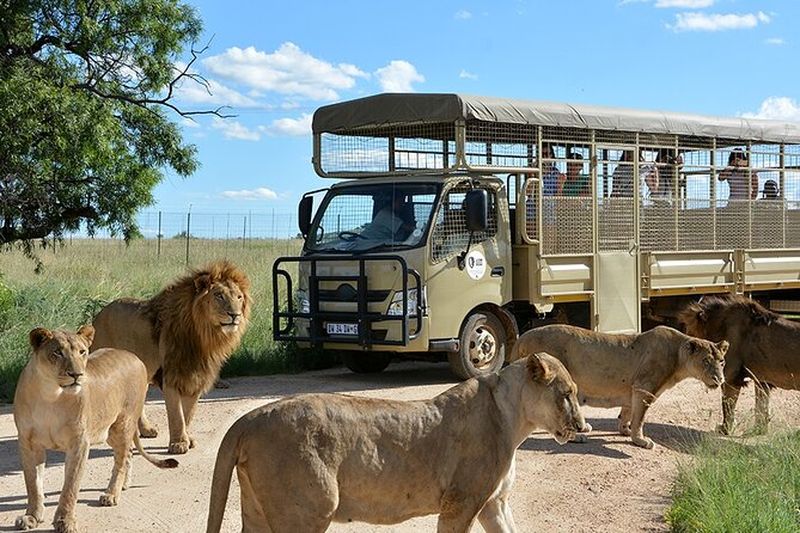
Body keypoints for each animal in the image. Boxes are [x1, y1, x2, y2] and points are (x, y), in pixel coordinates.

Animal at [13, 326, 178, 533]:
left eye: (82, 352)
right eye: (57, 352)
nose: (76, 374)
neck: (50, 395)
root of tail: (134, 356)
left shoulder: (79, 443)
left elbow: (70, 486)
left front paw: (65, 521)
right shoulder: (28, 443)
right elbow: (33, 484)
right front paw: (31, 517)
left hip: (122, 424)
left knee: (121, 459)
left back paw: (111, 494)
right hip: (109, 432)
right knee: (128, 454)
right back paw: (124, 485)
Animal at [91, 260, 251, 454]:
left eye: (239, 297)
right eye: (219, 295)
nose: (235, 315)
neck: (204, 337)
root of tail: (98, 315)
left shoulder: (196, 378)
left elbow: (188, 414)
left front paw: (187, 439)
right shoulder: (171, 377)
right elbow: (177, 415)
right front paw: (178, 444)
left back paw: (146, 430)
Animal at [205, 353, 584, 533]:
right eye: (567, 394)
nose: (582, 425)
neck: (515, 419)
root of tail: (248, 419)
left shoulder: (493, 503)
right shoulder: (461, 502)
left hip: (257, 509)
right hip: (309, 510)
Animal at [509, 324, 728, 449]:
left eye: (722, 361)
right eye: (706, 361)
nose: (720, 380)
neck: (678, 356)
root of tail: (521, 337)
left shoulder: (633, 389)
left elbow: (628, 412)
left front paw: (625, 430)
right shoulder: (644, 388)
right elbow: (640, 418)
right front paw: (640, 440)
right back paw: (578, 437)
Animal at [680, 294, 800, 435]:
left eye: (689, 332)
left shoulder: (730, 378)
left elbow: (727, 407)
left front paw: (725, 430)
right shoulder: (762, 381)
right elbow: (761, 408)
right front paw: (759, 430)